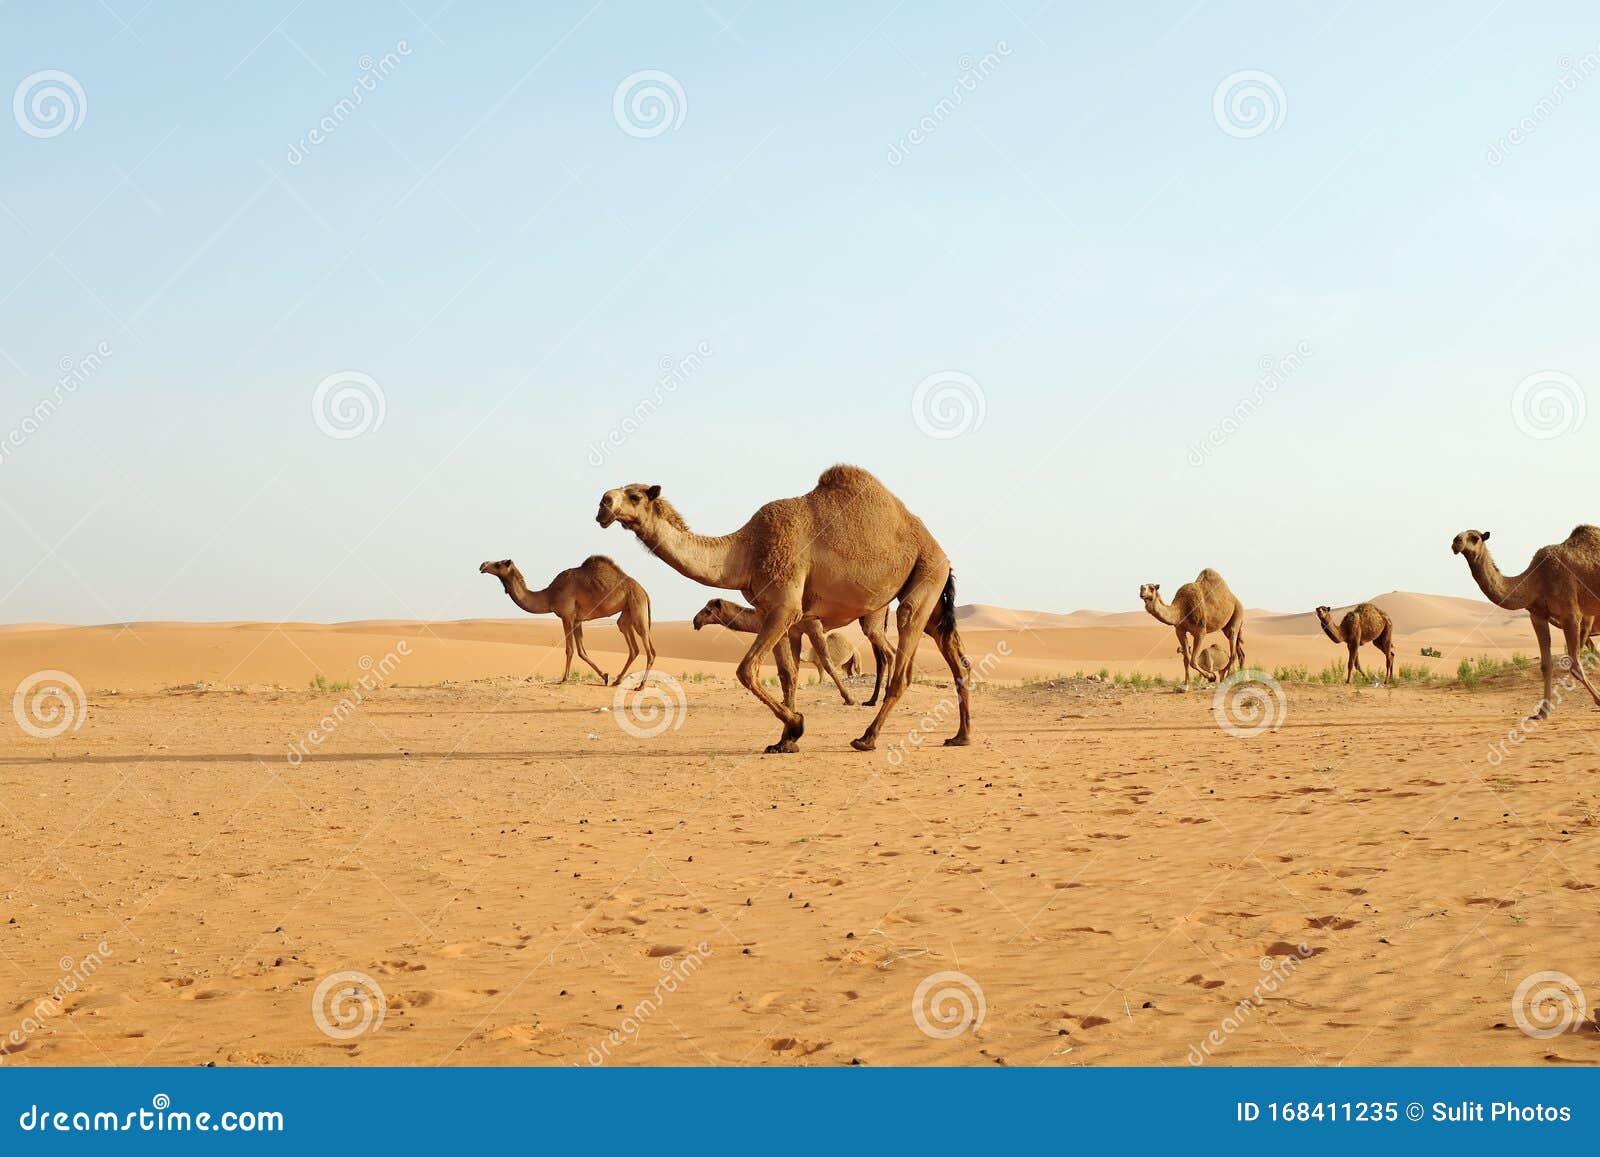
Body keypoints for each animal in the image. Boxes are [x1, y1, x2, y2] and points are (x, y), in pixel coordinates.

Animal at [476, 553, 652, 684]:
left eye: (499, 564)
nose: (483, 565)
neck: (549, 595)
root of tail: (644, 591)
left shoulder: (567, 616)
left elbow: (570, 649)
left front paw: (564, 678)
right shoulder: (577, 620)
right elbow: (582, 651)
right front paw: (605, 676)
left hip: (637, 605)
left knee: (647, 643)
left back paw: (641, 685)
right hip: (627, 611)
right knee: (631, 642)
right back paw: (618, 680)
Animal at [688, 598, 864, 707]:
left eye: (708, 611)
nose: (696, 621)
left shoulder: (802, 627)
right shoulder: (789, 633)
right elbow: (790, 668)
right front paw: (786, 702)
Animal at [1452, 528, 1600, 723]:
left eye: (1475, 538)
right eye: (1458, 535)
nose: (1456, 542)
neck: (1536, 580)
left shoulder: (1571, 614)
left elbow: (1575, 664)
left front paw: (1599, 700)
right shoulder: (1537, 615)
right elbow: (1546, 665)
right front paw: (1542, 712)